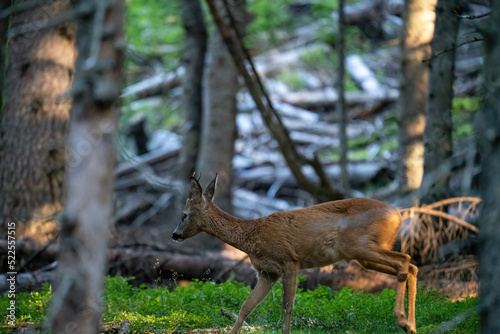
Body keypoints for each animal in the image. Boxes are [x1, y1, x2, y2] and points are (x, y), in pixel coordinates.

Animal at [172, 176, 418, 332]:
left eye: (184, 214)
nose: (175, 234)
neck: (251, 235)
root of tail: (398, 215)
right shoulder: (267, 272)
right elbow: (245, 307)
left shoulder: (289, 260)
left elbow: (287, 306)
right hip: (366, 255)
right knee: (411, 267)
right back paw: (411, 326)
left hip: (360, 246)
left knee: (404, 260)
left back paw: (402, 320)